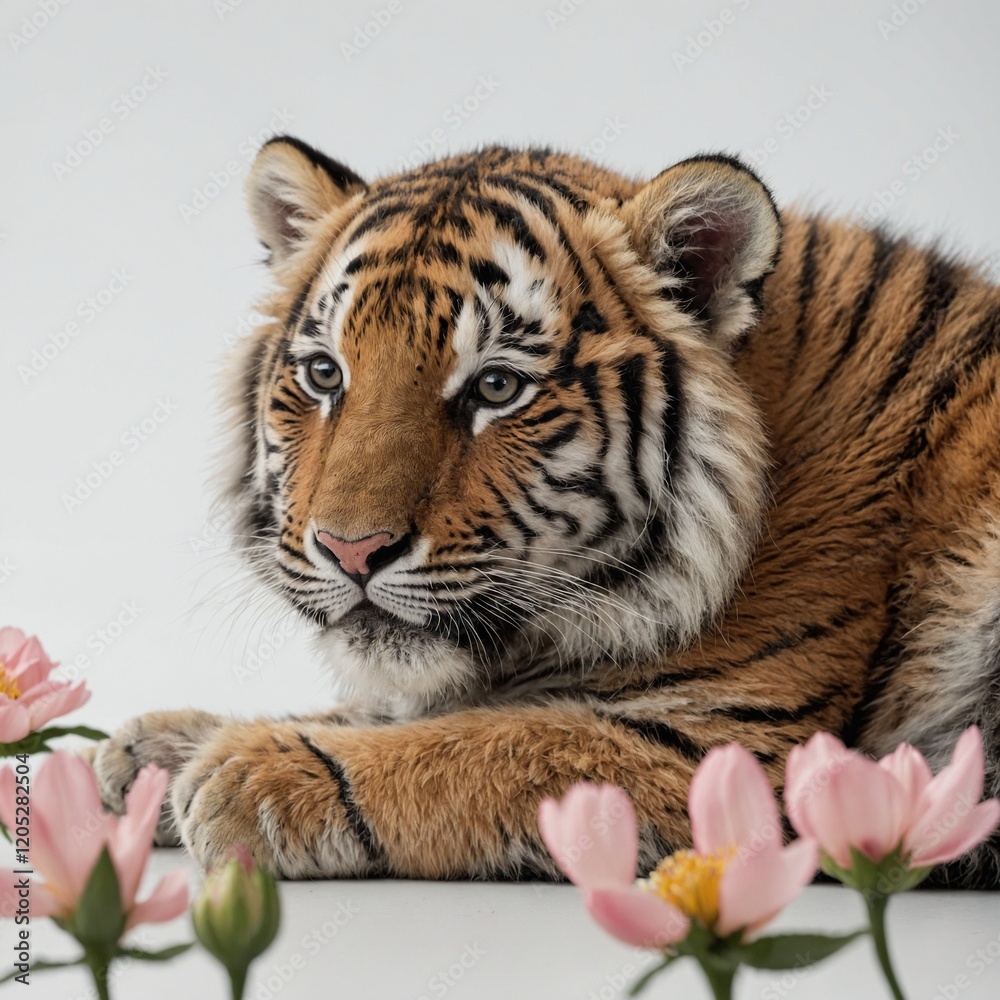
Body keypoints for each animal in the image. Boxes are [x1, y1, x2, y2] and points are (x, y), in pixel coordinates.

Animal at [89, 138, 1000, 889]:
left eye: (496, 387)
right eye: (324, 375)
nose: (352, 550)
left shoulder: (737, 741)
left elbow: (495, 743)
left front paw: (243, 771)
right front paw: (155, 750)